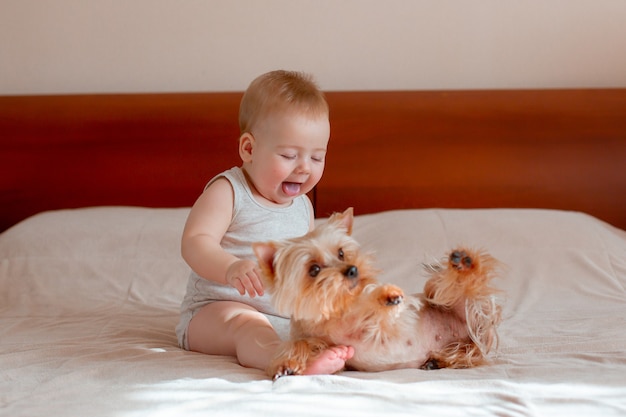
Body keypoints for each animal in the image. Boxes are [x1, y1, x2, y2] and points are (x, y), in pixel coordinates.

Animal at [251, 206, 500, 378]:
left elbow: (372, 304)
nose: (352, 270)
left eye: (341, 253)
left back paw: (465, 262)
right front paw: (287, 364)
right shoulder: (310, 336)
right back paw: (441, 360)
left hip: (442, 294)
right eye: (314, 269)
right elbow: (297, 345)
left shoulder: (385, 321)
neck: (332, 312)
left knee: (466, 285)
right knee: (471, 352)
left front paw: (387, 295)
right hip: (465, 334)